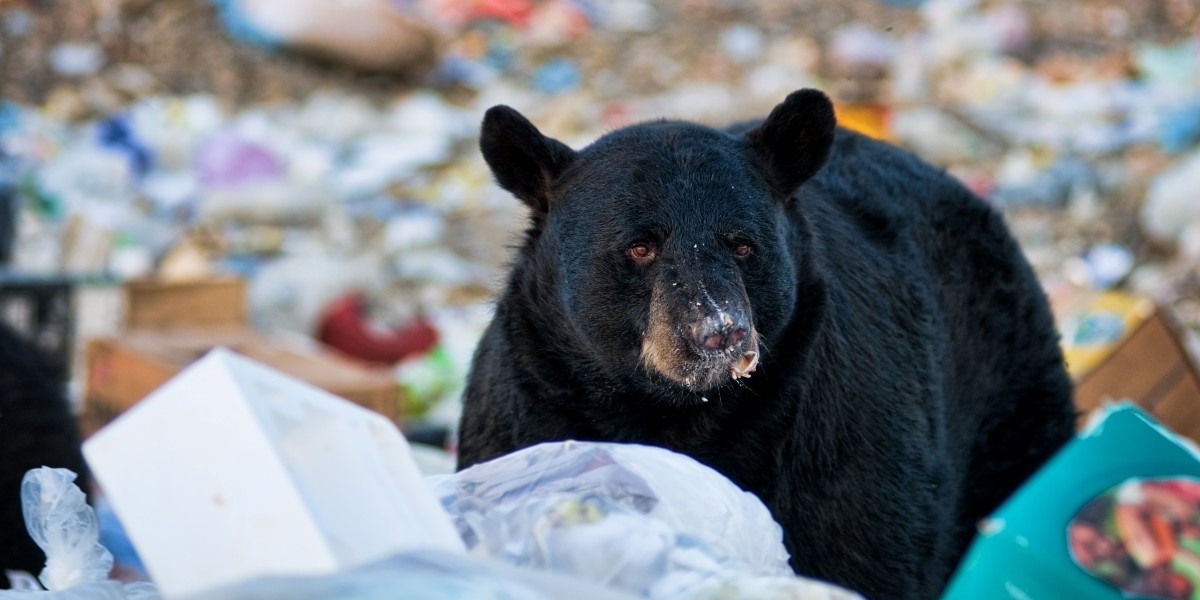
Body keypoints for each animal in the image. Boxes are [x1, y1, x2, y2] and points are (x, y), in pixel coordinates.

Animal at [455, 88, 1077, 600]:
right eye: (640, 247)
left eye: (743, 244)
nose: (719, 331)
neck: (681, 417)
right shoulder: (526, 409)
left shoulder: (844, 444)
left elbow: (866, 549)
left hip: (1008, 402)